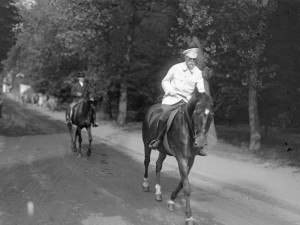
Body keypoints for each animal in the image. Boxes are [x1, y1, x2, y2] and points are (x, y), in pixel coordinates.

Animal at [141, 90, 213, 224]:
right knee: (147, 161)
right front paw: (189, 216)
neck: (187, 128)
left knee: (158, 165)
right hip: (146, 142)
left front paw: (172, 200)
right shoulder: (181, 158)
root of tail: (152, 109)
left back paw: (158, 192)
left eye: (212, 115)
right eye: (196, 113)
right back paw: (145, 184)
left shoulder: (190, 159)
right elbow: (187, 187)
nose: (200, 143)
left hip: (163, 150)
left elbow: (182, 183)